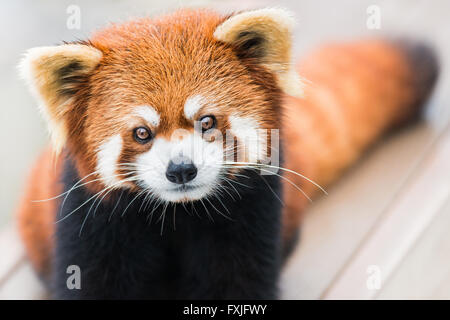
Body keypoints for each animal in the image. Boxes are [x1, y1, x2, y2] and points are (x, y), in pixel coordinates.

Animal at [16, 8, 436, 298]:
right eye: (142, 133)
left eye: (206, 122)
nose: (181, 170)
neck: (178, 215)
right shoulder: (93, 222)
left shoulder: (252, 213)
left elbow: (236, 280)